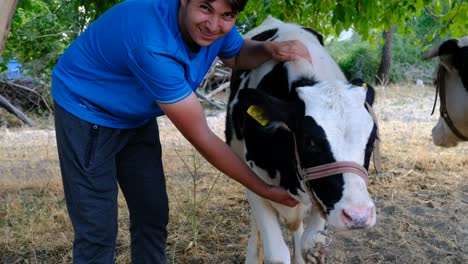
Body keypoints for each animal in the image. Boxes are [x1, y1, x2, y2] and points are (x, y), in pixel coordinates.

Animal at [225, 17, 378, 262]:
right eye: (309, 141)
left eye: (371, 141)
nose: (358, 216)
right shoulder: (252, 180)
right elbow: (277, 253)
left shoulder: (320, 196)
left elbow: (310, 244)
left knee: (297, 227)